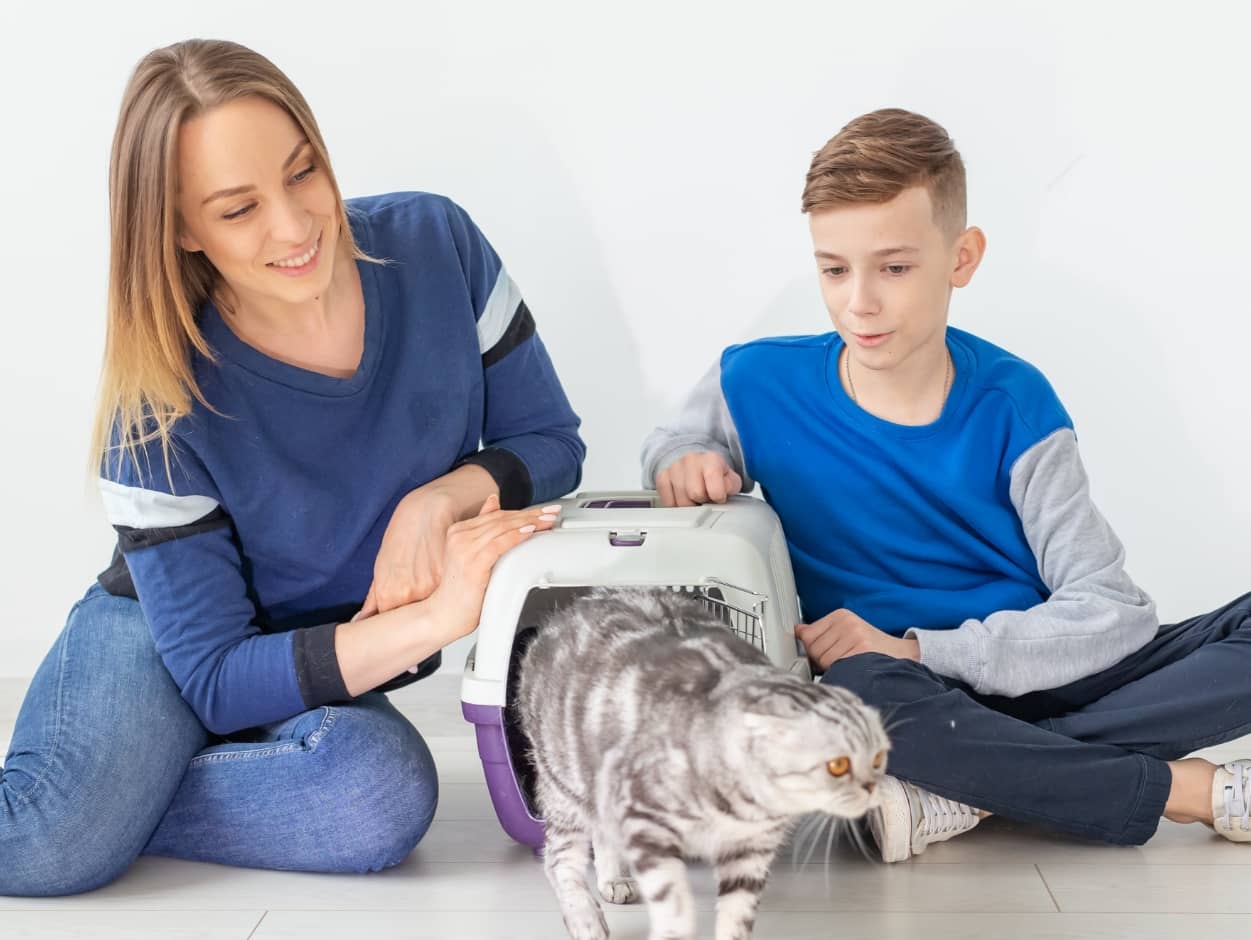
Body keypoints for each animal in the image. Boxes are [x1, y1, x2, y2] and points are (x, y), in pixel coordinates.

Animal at [517, 588, 890, 940]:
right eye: (838, 765)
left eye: (879, 758)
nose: (873, 788)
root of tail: (565, 612)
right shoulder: (647, 827)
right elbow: (673, 906)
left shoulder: (750, 852)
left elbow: (736, 915)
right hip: (563, 784)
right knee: (558, 858)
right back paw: (584, 917)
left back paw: (613, 879)